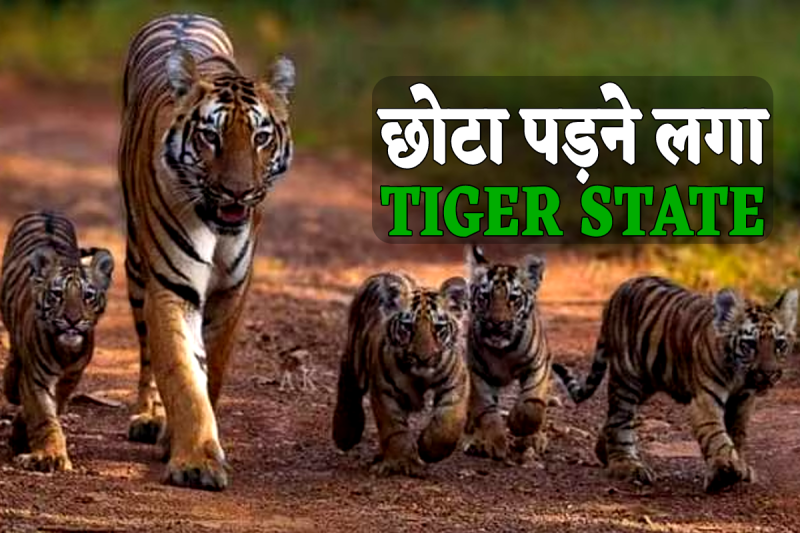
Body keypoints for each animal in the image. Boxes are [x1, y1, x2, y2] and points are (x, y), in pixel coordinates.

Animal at [1, 211, 114, 472]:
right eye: (57, 294)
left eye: (88, 295)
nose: (72, 320)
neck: (66, 351)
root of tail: (46, 211)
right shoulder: (35, 377)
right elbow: (43, 415)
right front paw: (50, 456)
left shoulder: (71, 377)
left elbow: (52, 407)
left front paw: (21, 436)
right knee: (14, 355)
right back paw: (10, 383)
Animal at [118, 13, 294, 490]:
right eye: (210, 136)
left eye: (261, 137)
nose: (238, 191)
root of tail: (182, 14)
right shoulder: (170, 287)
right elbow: (181, 373)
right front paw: (196, 461)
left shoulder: (231, 292)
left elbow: (210, 371)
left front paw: (181, 444)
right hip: (136, 267)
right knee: (146, 353)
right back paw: (146, 417)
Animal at [333, 273, 470, 476]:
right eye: (408, 326)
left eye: (438, 327)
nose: (423, 358)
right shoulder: (384, 390)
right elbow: (394, 428)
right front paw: (403, 461)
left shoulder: (456, 380)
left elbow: (449, 423)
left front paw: (428, 449)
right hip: (355, 353)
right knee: (348, 383)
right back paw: (345, 432)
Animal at [463, 245, 551, 464]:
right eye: (485, 297)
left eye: (513, 298)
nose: (496, 323)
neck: (502, 352)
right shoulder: (478, 373)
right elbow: (487, 411)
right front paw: (495, 443)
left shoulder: (538, 366)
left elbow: (531, 406)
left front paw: (516, 423)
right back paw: (475, 441)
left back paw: (534, 439)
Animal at [552, 276, 797, 493]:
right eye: (750, 344)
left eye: (779, 344)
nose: (769, 374)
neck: (739, 376)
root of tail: (619, 289)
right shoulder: (705, 399)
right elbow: (716, 434)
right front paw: (725, 472)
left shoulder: (744, 399)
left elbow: (737, 434)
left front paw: (741, 467)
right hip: (627, 379)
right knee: (620, 419)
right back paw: (626, 466)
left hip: (648, 382)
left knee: (612, 420)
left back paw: (603, 451)